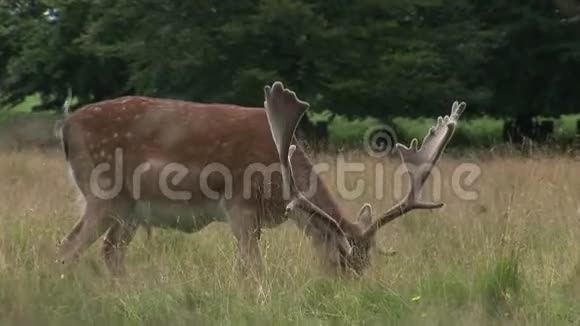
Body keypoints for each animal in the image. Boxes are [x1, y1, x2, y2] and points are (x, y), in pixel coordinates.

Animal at [57, 80, 466, 276]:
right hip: (103, 193)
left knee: (109, 250)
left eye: (368, 265)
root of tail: (65, 127)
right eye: (341, 261)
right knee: (68, 245)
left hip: (130, 211)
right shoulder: (239, 204)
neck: (279, 185)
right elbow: (251, 267)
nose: (353, 292)